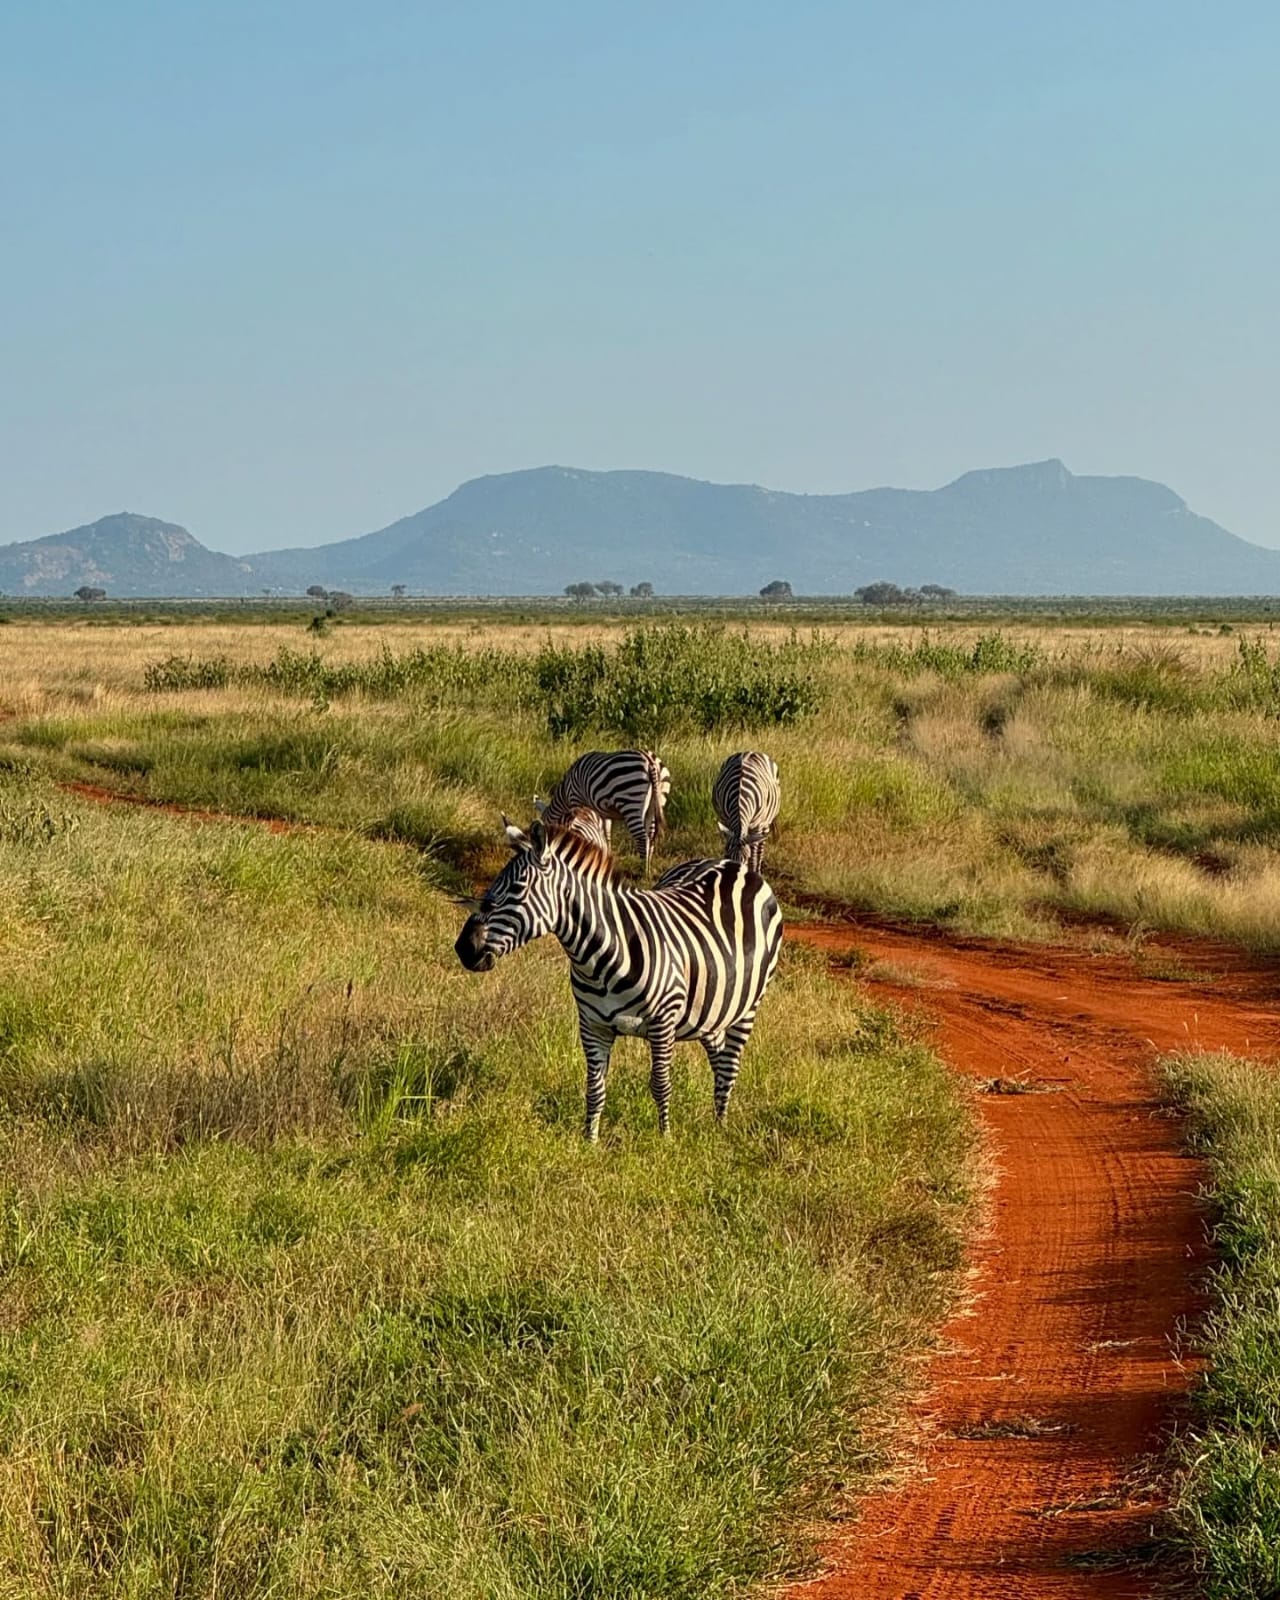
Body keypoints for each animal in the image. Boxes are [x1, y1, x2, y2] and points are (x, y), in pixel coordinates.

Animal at [455, 820, 783, 1139]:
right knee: (718, 1055)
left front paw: (665, 1140)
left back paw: (721, 1127)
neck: (599, 960)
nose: (463, 948)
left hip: (748, 1006)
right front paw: (589, 1142)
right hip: (709, 1009)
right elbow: (594, 1089)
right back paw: (717, 1121)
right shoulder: (593, 1025)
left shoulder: (663, 1023)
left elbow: (661, 1084)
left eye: (517, 888)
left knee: (729, 1066)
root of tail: (732, 864)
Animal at [540, 750, 670, 872]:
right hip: (656, 802)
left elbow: (571, 826)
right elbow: (606, 833)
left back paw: (643, 869)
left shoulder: (575, 801)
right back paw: (648, 865)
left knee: (642, 838)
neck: (565, 794)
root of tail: (649, 761)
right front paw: (607, 855)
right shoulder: (604, 812)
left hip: (630, 800)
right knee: (650, 835)